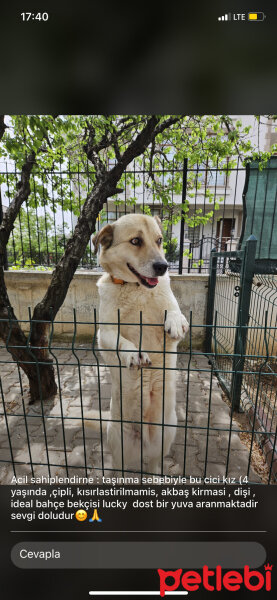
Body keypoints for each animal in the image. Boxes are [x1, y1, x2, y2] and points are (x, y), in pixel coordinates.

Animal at [87, 213, 189, 476]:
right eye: (135, 241)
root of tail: (142, 440)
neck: (137, 289)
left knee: (154, 465)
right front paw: (135, 354)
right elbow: (120, 341)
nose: (163, 267)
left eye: (159, 240)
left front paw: (175, 323)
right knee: (119, 469)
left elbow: (174, 311)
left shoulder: (171, 305)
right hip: (118, 443)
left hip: (165, 435)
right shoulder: (104, 333)